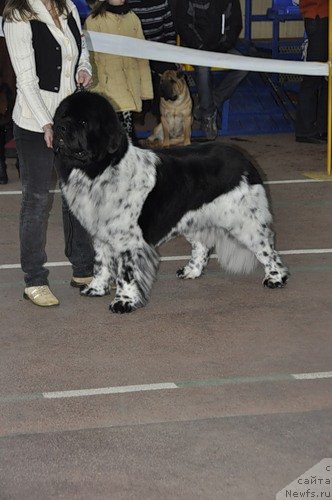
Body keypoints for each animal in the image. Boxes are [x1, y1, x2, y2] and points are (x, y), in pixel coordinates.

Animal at [53, 90, 290, 312]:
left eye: (84, 122)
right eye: (62, 117)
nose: (60, 128)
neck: (100, 171)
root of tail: (245, 160)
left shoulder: (128, 240)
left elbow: (126, 273)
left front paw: (124, 302)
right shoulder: (101, 233)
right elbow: (101, 264)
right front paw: (96, 288)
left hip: (244, 221)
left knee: (266, 247)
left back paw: (275, 278)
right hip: (194, 218)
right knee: (202, 246)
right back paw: (191, 271)